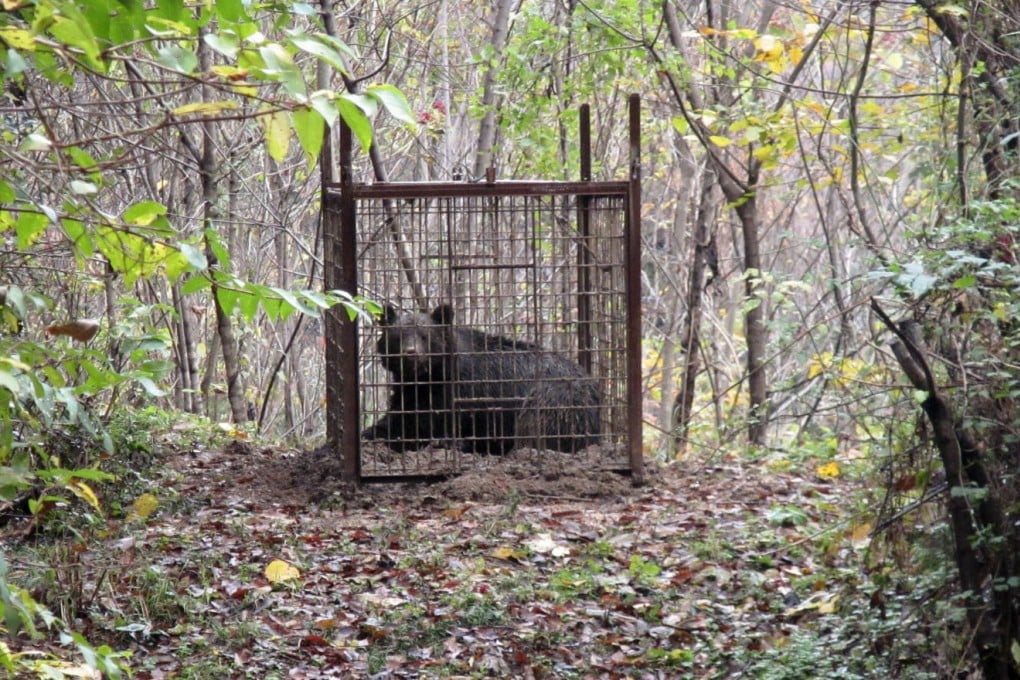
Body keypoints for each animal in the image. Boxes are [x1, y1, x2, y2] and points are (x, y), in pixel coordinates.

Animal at [363, 304, 602, 454]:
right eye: (398, 336)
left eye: (425, 336)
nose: (411, 353)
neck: (428, 377)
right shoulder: (410, 392)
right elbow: (400, 420)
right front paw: (371, 433)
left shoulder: (464, 392)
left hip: (555, 397)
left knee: (535, 423)